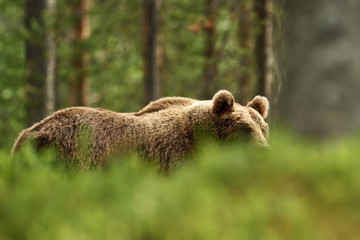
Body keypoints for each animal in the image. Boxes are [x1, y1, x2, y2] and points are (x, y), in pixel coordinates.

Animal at [11, 90, 270, 171]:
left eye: (264, 129)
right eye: (245, 129)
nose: (265, 150)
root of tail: (28, 133)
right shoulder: (174, 158)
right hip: (72, 156)